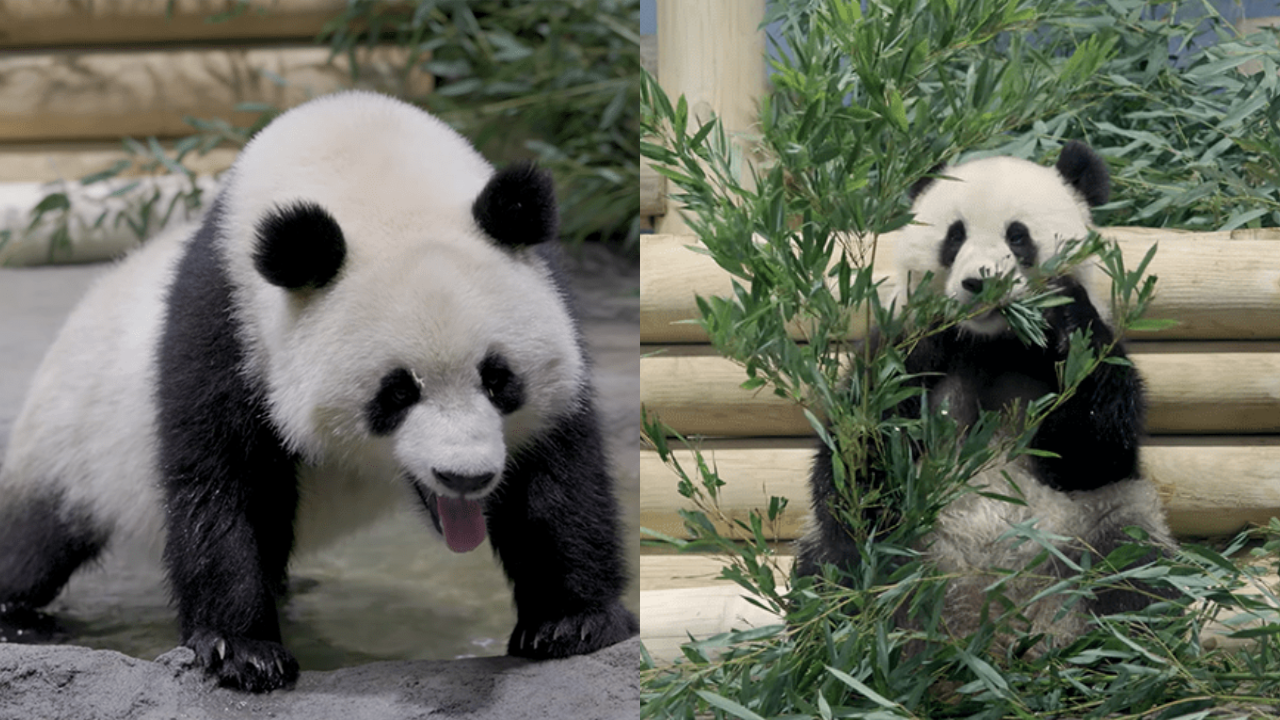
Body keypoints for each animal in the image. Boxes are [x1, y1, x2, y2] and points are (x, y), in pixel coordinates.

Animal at [0, 89, 637, 691]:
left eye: (498, 379)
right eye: (396, 393)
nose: (466, 477)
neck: (367, 167)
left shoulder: (551, 303)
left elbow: (554, 474)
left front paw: (572, 621)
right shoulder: (228, 322)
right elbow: (223, 477)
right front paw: (243, 652)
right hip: (69, 439)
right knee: (32, 542)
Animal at [798, 140, 1177, 645]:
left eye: (1018, 237)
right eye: (954, 236)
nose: (981, 282)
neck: (991, 341)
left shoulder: (1081, 368)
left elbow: (1097, 448)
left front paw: (1065, 317)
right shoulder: (899, 352)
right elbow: (857, 456)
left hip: (1097, 528)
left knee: (1136, 580)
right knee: (836, 578)